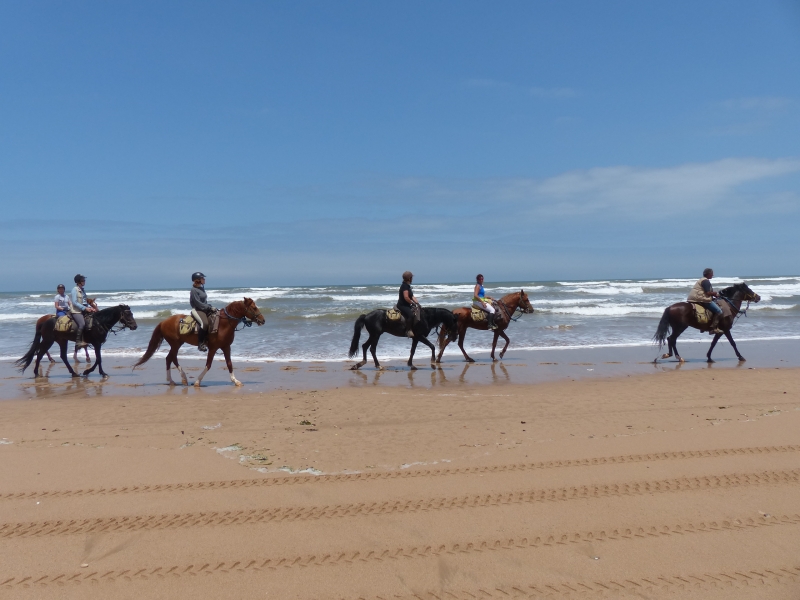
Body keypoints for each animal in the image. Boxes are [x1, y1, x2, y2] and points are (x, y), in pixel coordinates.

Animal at [133, 298, 268, 386]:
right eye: (254, 307)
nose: (263, 320)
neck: (224, 323)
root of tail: (163, 321)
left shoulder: (226, 347)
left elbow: (229, 364)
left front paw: (236, 381)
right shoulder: (213, 348)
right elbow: (208, 365)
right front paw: (198, 381)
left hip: (178, 344)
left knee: (170, 358)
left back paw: (175, 380)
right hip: (175, 344)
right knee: (171, 358)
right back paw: (181, 379)